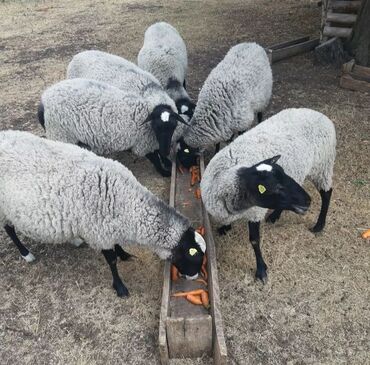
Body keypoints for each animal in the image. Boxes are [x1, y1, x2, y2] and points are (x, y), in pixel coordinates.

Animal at [0, 130, 207, 296]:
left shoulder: (108, 228)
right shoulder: (98, 232)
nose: (194, 278)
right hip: (4, 210)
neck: (125, 202)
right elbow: (112, 261)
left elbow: (117, 247)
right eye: (193, 256)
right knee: (9, 230)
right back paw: (26, 254)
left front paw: (125, 254)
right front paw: (120, 288)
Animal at [39, 78, 188, 176]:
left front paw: (167, 162)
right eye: (156, 127)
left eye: (173, 126)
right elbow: (154, 157)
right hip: (61, 134)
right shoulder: (141, 143)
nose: (166, 151)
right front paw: (164, 172)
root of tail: (43, 100)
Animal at [201, 108, 336, 282]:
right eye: (277, 187)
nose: (308, 200)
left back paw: (319, 225)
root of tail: (320, 115)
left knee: (327, 194)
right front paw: (225, 227)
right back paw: (275, 216)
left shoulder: (255, 212)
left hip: (322, 166)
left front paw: (261, 270)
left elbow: (254, 241)